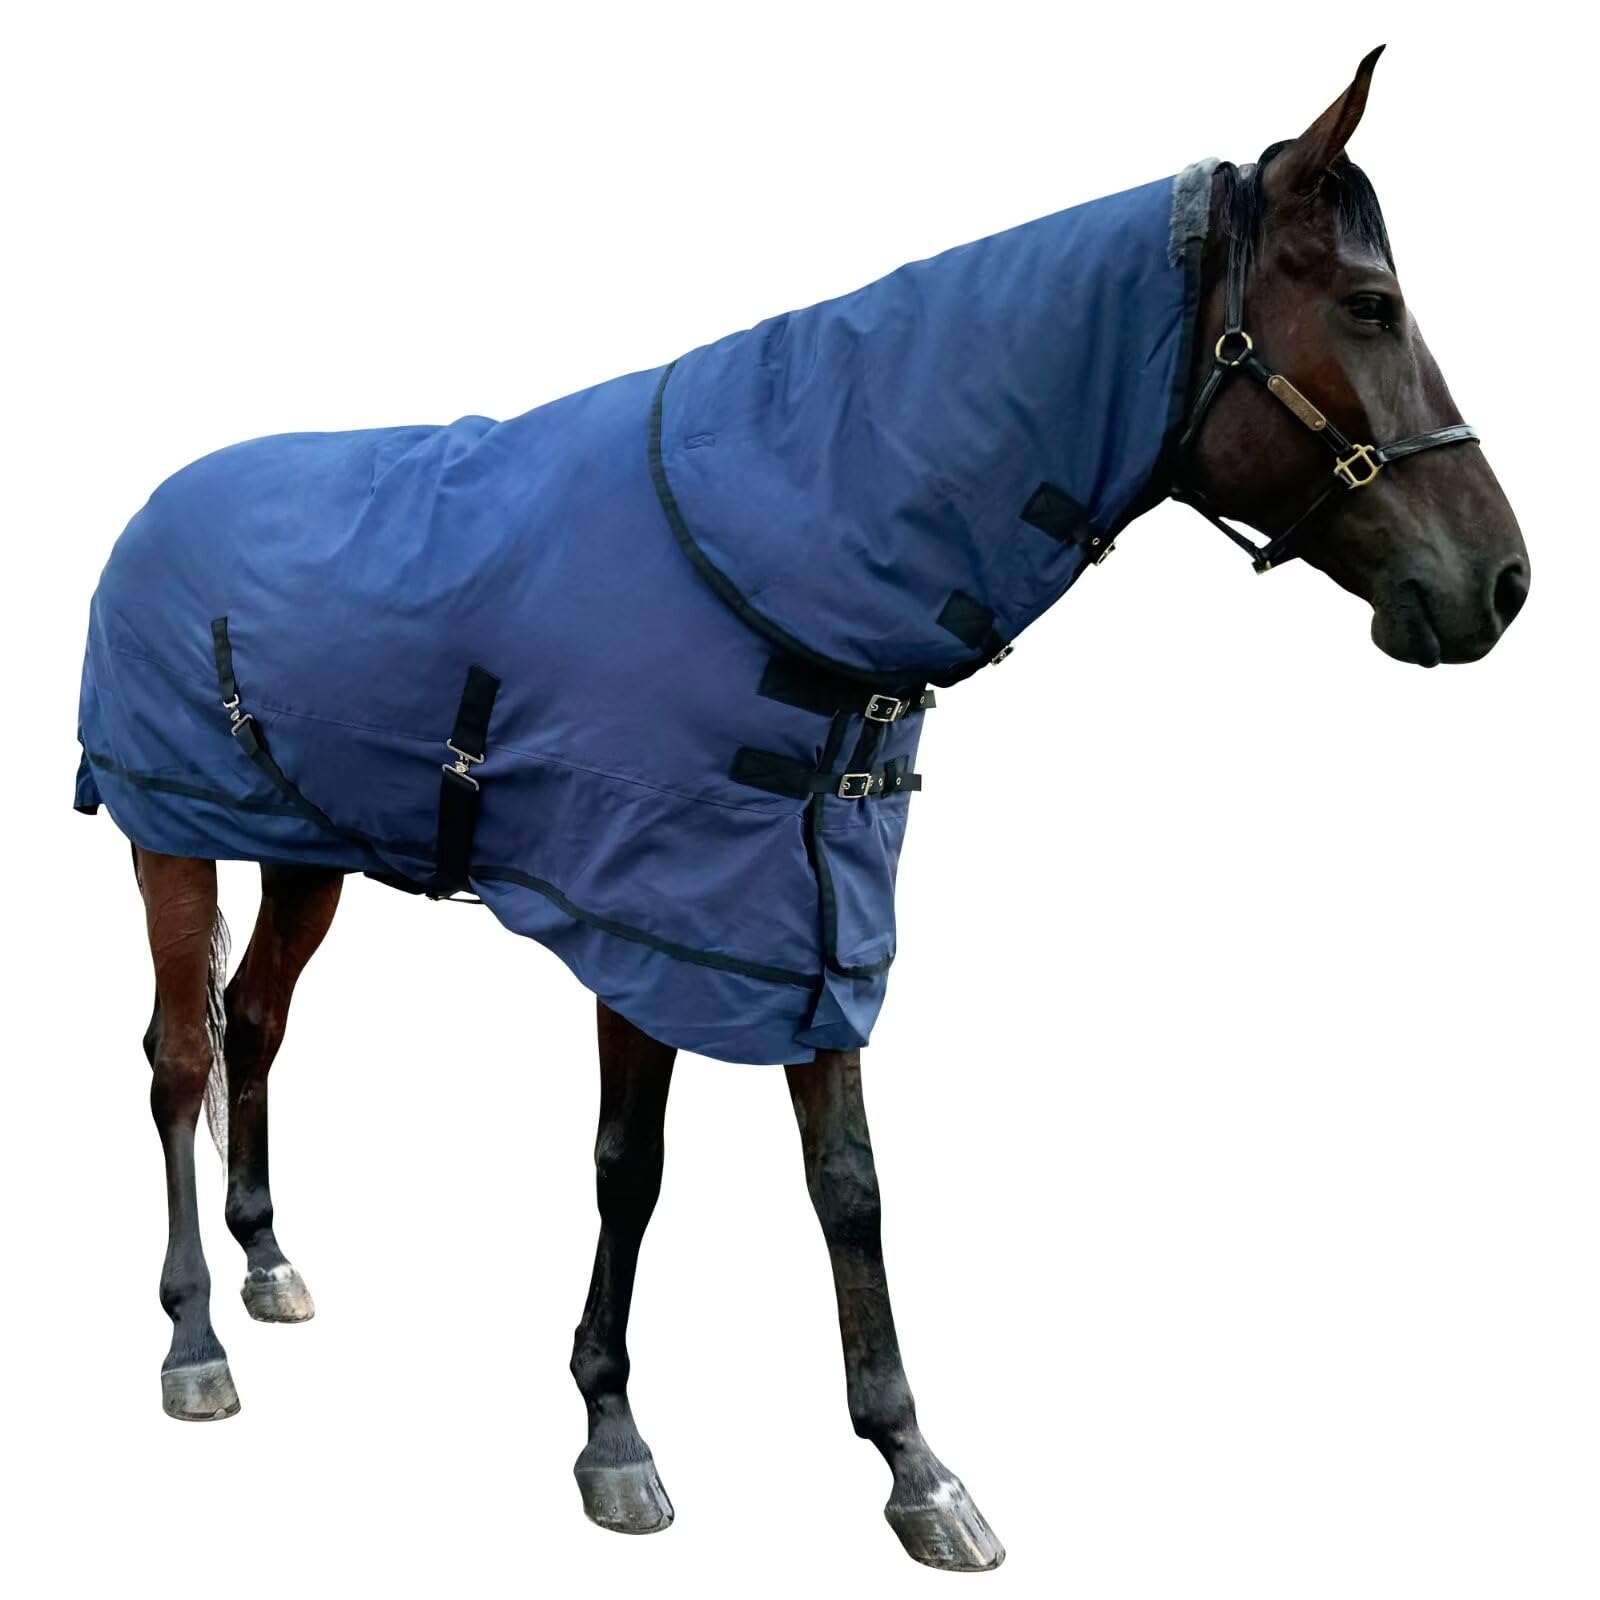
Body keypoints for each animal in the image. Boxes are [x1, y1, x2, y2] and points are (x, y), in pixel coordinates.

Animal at [76, 46, 1528, 1571]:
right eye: (1370, 306)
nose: (1501, 583)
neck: (777, 542)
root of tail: (156, 503)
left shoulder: (809, 919)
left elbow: (850, 1184)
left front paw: (915, 1468)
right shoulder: (650, 922)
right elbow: (632, 1167)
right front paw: (614, 1436)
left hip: (308, 851)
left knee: (255, 1024)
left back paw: (267, 1261)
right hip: (167, 832)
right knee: (180, 1056)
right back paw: (193, 1340)